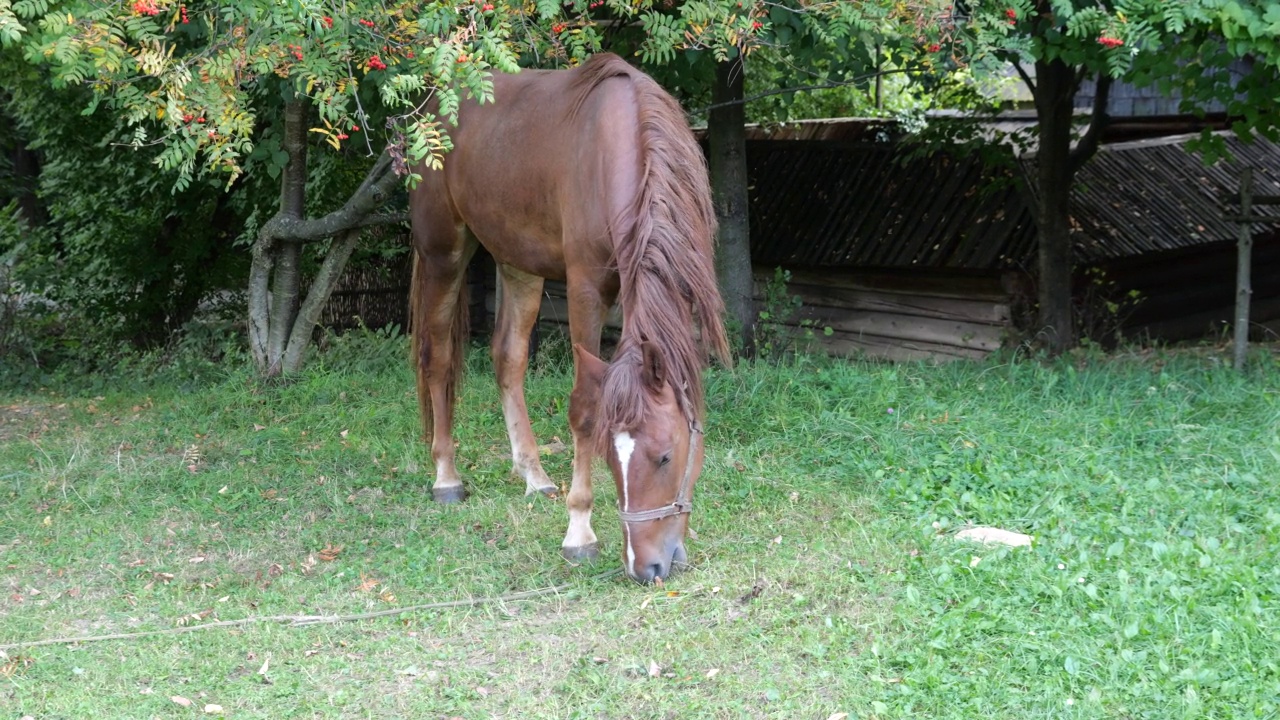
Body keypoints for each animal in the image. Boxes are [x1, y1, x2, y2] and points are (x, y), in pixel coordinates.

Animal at [409, 54, 732, 584]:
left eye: (665, 456)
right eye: (609, 456)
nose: (646, 565)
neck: (622, 148)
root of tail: (433, 105)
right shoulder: (585, 290)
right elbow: (584, 406)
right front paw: (580, 531)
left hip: (518, 264)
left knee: (508, 357)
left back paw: (533, 473)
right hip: (443, 254)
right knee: (437, 357)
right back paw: (446, 477)